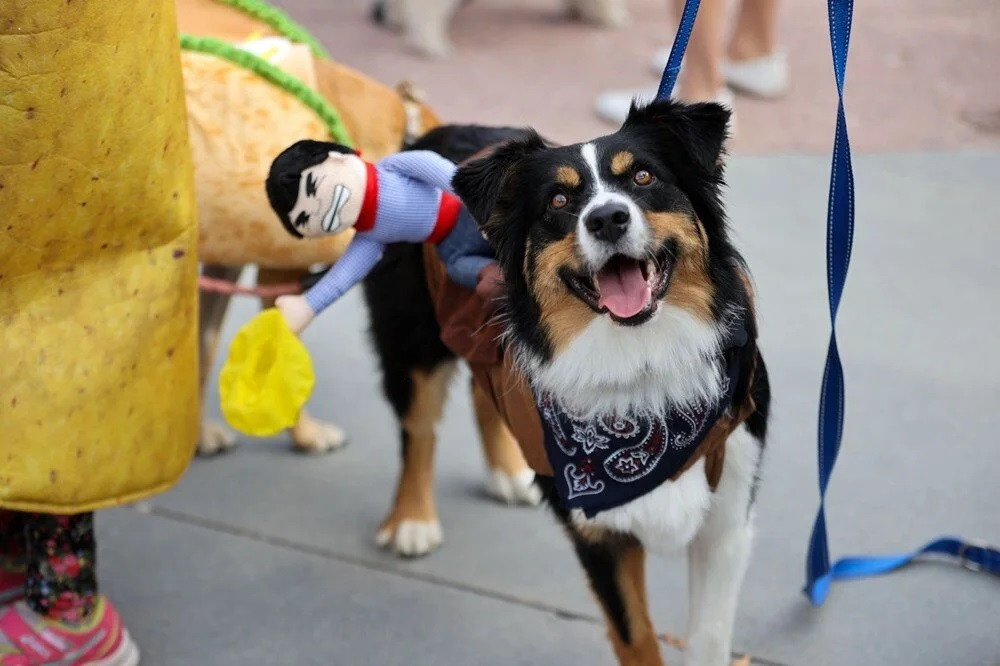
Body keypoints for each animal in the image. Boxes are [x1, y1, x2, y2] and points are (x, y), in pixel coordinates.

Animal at [368, 100, 772, 664]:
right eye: (558, 200)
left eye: (644, 177)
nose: (607, 218)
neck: (641, 362)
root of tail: (431, 131)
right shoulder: (599, 533)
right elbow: (637, 637)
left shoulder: (728, 515)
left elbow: (709, 639)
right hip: (412, 340)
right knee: (419, 428)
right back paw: (412, 519)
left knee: (482, 388)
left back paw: (507, 472)